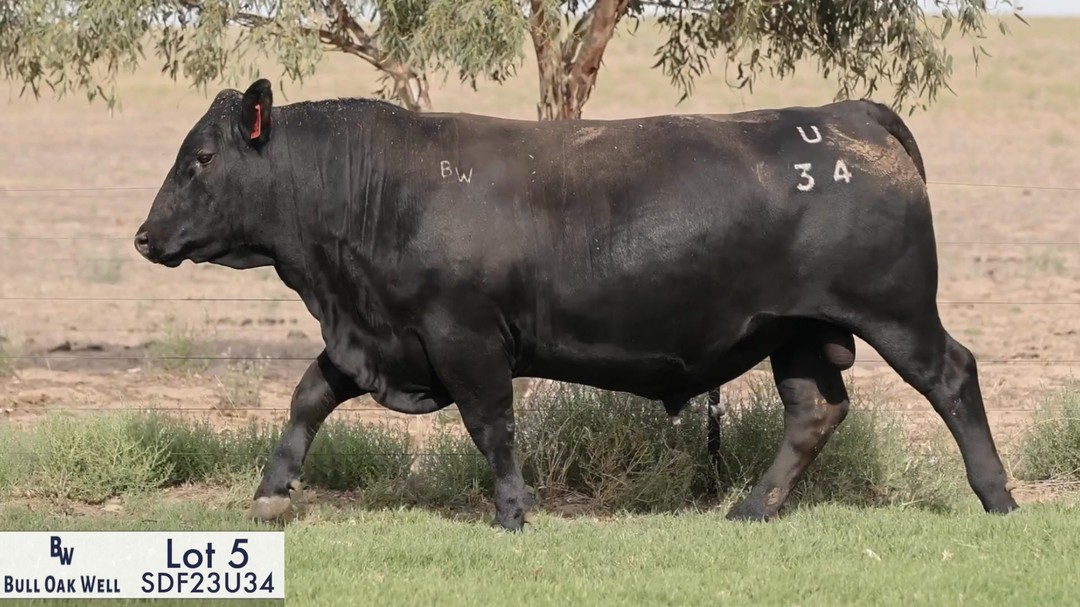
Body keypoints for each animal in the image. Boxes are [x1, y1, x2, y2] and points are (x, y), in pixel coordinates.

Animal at [134, 79, 1018, 530]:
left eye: (201, 156)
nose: (145, 236)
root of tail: (844, 113)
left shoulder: (464, 335)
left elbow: (492, 424)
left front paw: (513, 512)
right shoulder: (379, 336)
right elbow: (309, 393)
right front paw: (271, 490)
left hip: (896, 312)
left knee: (953, 376)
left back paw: (998, 495)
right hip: (798, 329)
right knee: (814, 411)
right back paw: (752, 507)